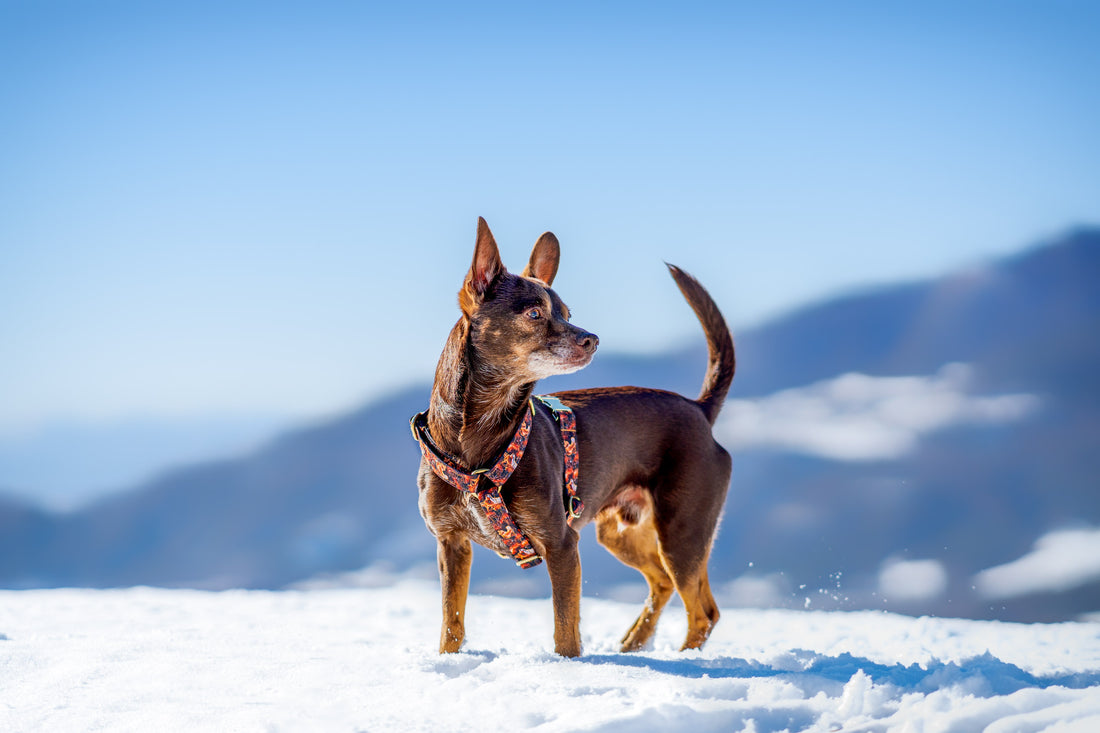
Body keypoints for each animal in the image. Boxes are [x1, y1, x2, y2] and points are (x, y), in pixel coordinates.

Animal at [415, 216, 734, 655]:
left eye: (567, 313)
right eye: (535, 313)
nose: (592, 339)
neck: (480, 438)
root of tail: (700, 409)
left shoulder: (562, 544)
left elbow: (565, 629)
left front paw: (567, 666)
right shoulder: (451, 543)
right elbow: (452, 623)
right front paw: (447, 663)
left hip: (682, 532)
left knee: (703, 612)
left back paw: (684, 661)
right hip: (621, 533)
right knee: (665, 584)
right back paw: (632, 645)